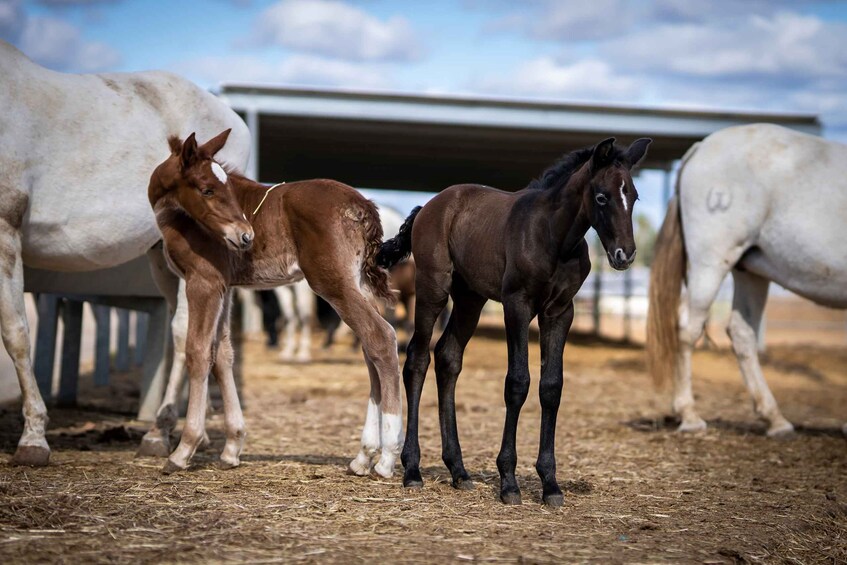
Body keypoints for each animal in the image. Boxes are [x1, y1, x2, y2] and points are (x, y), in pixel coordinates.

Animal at [0, 38, 252, 462]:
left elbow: (16, 332)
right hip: (164, 261)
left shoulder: (5, 229)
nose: (245, 235)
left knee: (184, 336)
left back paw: (160, 431)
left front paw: (33, 438)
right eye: (206, 189)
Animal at [147, 131, 402, 476]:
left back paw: (386, 458)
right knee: (368, 346)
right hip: (357, 284)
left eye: (225, 189)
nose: (246, 236)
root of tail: (363, 206)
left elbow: (197, 351)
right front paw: (232, 447)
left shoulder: (202, 281)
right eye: (207, 189)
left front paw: (185, 448)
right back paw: (363, 456)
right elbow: (223, 353)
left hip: (332, 283)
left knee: (381, 337)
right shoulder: (226, 287)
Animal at [644, 124, 844, 436]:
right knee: (688, 328)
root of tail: (700, 147)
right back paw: (690, 416)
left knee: (742, 333)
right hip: (712, 262)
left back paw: (775, 419)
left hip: (751, 271)